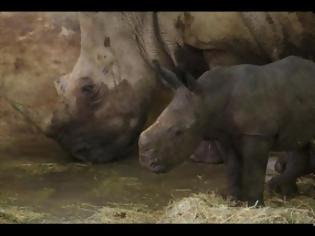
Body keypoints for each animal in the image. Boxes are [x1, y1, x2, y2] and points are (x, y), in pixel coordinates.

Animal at [46, 11, 315, 162]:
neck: (135, 21)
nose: (78, 153)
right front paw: (203, 153)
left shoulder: (223, 43)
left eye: (89, 90)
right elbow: (197, 82)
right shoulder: (187, 39)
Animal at [139, 56, 315, 206]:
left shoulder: (257, 133)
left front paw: (255, 206)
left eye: (178, 132)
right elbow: (232, 169)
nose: (146, 162)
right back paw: (286, 192)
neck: (209, 98)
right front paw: (233, 202)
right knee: (299, 143)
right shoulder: (225, 135)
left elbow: (254, 171)